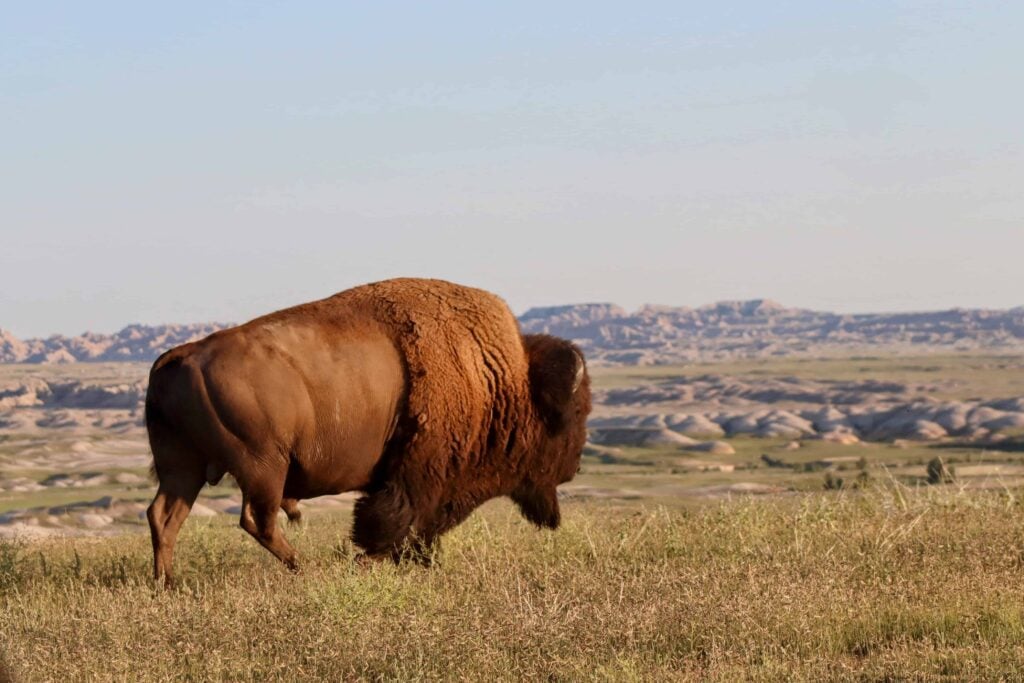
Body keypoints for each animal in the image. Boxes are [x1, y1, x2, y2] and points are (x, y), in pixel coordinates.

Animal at [145, 278, 591, 584]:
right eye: (573, 415)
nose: (575, 468)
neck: (497, 377)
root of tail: (182, 355)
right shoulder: (416, 478)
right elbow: (392, 523)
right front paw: (367, 562)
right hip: (263, 466)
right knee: (258, 520)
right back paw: (304, 568)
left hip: (183, 467)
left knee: (164, 516)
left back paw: (168, 584)